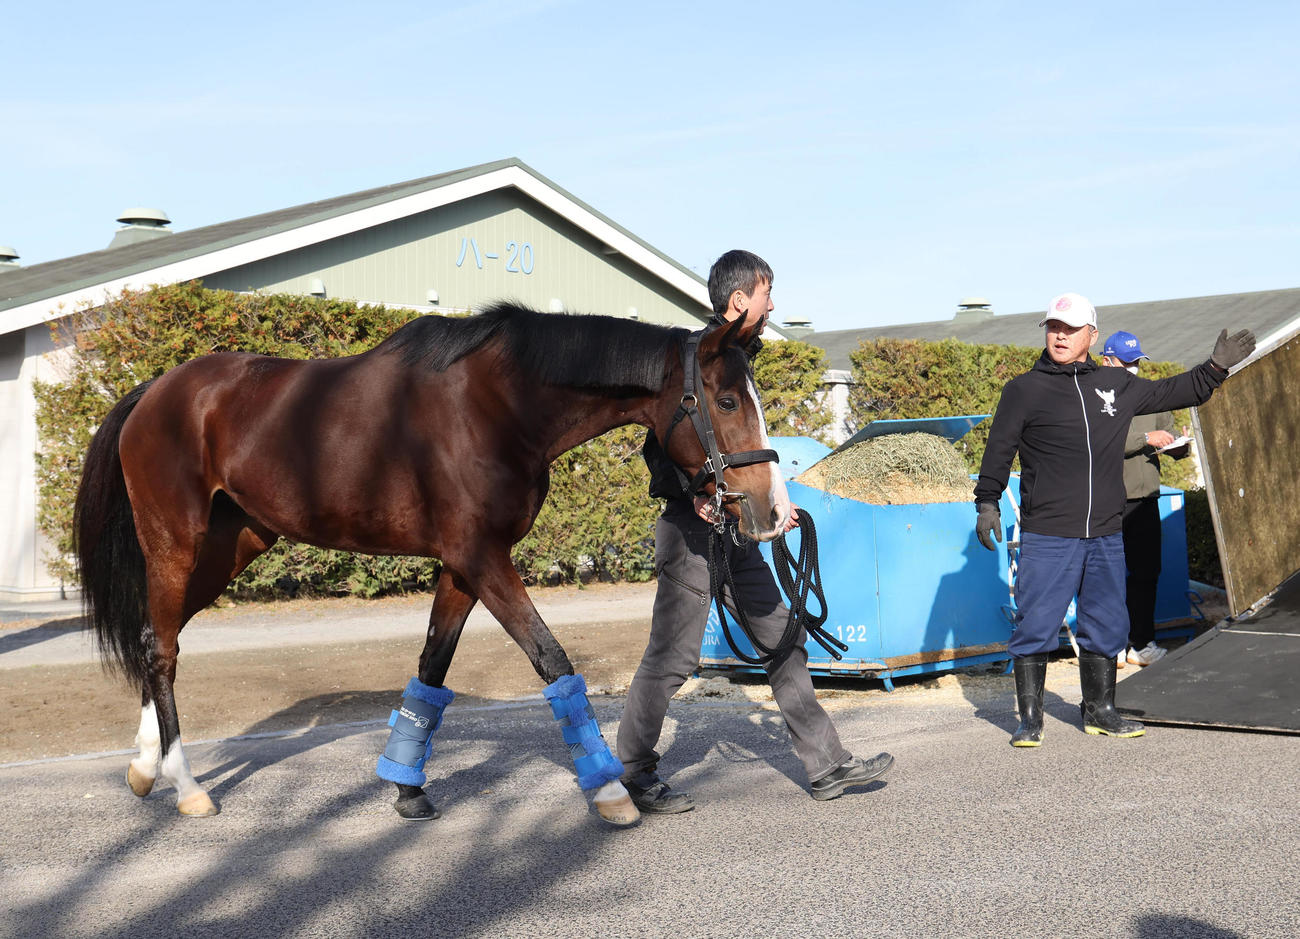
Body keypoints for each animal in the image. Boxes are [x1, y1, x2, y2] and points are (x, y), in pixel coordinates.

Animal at [73, 301, 789, 825]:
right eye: (727, 401)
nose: (767, 509)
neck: (496, 404)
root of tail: (154, 391)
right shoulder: (483, 558)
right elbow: (552, 659)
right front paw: (611, 792)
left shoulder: (461, 567)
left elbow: (431, 670)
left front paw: (407, 789)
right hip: (176, 542)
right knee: (161, 647)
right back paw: (186, 784)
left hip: (234, 544)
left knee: (156, 637)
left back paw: (145, 768)